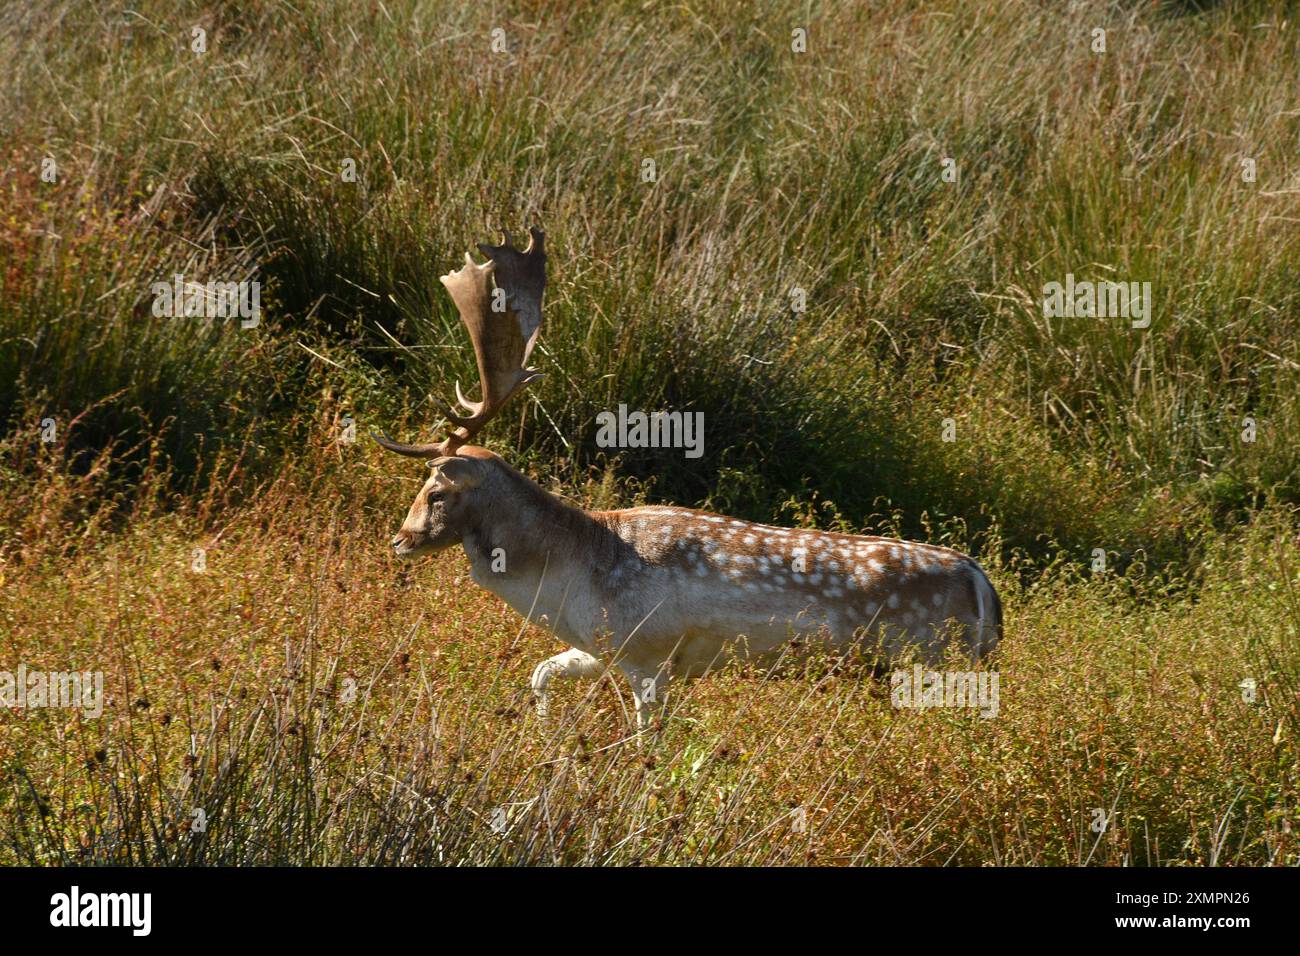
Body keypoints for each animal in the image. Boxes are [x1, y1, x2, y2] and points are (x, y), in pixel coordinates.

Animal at [377, 227, 1003, 728]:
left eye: (436, 490)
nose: (399, 541)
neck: (566, 580)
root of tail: (985, 591)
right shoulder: (604, 649)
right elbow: (541, 673)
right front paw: (543, 728)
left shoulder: (647, 653)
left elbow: (645, 737)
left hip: (930, 662)